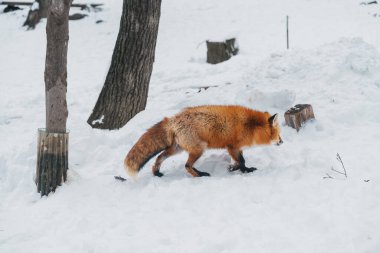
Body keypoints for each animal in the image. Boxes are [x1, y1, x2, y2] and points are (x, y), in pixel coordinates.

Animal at [124, 105, 282, 178]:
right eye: (278, 134)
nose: (282, 142)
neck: (250, 125)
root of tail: (173, 119)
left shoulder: (237, 148)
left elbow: (240, 161)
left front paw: (239, 169)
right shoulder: (232, 147)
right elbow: (241, 161)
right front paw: (239, 169)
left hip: (177, 149)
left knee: (159, 158)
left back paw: (157, 173)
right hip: (199, 149)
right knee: (187, 165)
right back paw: (200, 175)